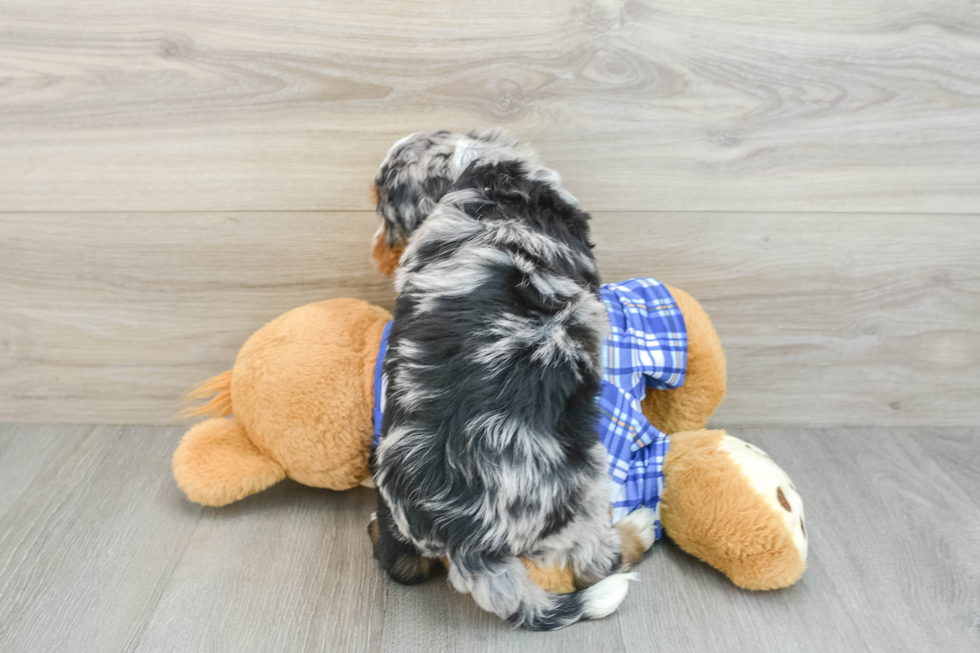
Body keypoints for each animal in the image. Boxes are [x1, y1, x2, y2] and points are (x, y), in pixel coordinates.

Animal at [368, 130, 636, 628]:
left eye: (383, 210)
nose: (378, 250)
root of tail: (470, 542)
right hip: (589, 484)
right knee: (596, 559)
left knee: (402, 564)